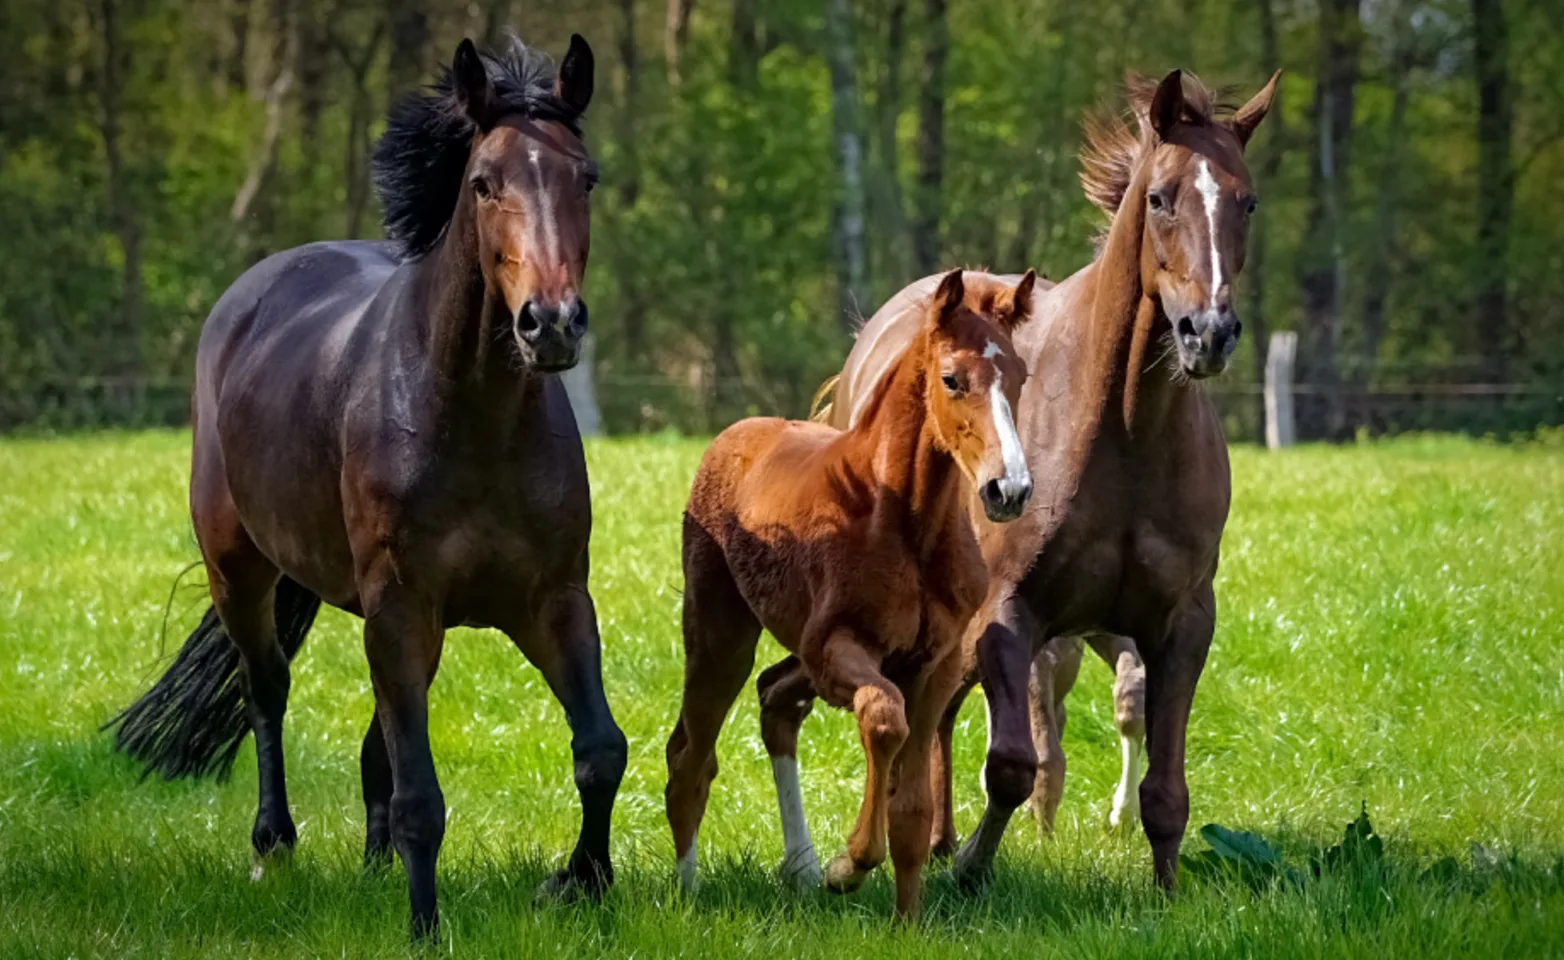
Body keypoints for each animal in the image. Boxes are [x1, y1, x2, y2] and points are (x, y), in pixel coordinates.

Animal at [102, 37, 628, 938]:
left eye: (584, 177)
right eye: (483, 181)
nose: (551, 324)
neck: (470, 420)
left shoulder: (553, 601)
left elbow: (599, 749)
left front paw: (579, 883)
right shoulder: (399, 605)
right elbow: (422, 795)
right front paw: (425, 926)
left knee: (374, 736)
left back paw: (374, 864)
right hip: (241, 570)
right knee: (266, 690)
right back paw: (274, 844)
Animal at [663, 272, 1038, 925]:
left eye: (1017, 375)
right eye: (951, 379)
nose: (1008, 489)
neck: (904, 521)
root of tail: (735, 433)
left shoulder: (936, 664)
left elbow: (913, 806)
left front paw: (907, 922)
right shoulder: (835, 649)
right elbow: (883, 718)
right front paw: (850, 865)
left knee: (771, 703)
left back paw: (800, 869)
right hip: (719, 636)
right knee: (691, 755)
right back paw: (690, 894)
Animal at [813, 69, 1276, 894]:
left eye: (1246, 200)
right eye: (1160, 198)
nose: (1209, 334)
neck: (1123, 434)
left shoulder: (1181, 623)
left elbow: (1166, 786)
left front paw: (1165, 890)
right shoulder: (1010, 616)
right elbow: (1011, 764)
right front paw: (970, 869)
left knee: (938, 715)